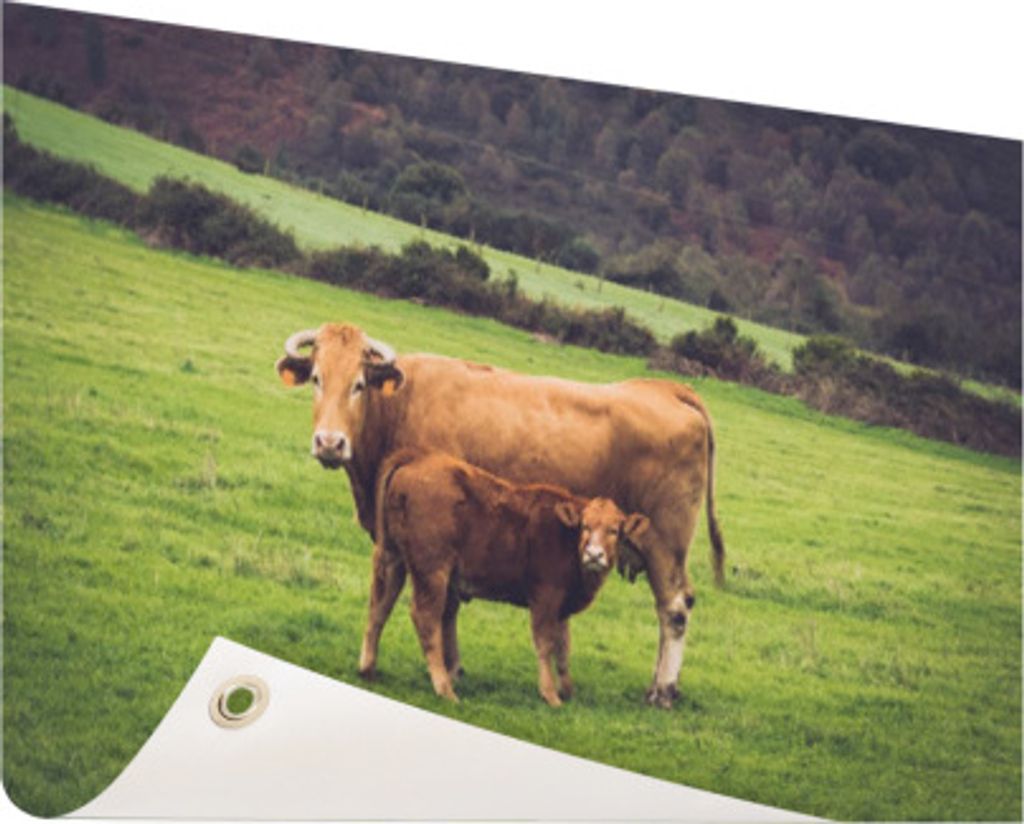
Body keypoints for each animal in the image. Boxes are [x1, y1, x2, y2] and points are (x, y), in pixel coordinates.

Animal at [361, 448, 649, 705]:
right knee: (426, 618)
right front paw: (550, 694)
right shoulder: (545, 596)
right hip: (432, 570)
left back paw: (367, 668)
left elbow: (564, 647)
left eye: (614, 530)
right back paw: (444, 688)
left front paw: (567, 691)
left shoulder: (563, 606)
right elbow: (545, 643)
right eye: (585, 526)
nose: (594, 554)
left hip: (392, 557)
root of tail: (418, 458)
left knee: (379, 606)